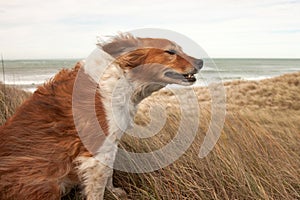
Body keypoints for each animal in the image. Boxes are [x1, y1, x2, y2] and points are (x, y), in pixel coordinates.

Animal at [0, 33, 203, 199]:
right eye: (170, 52)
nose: (201, 61)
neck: (123, 79)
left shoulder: (110, 144)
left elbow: (109, 173)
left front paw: (113, 191)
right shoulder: (96, 152)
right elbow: (98, 185)